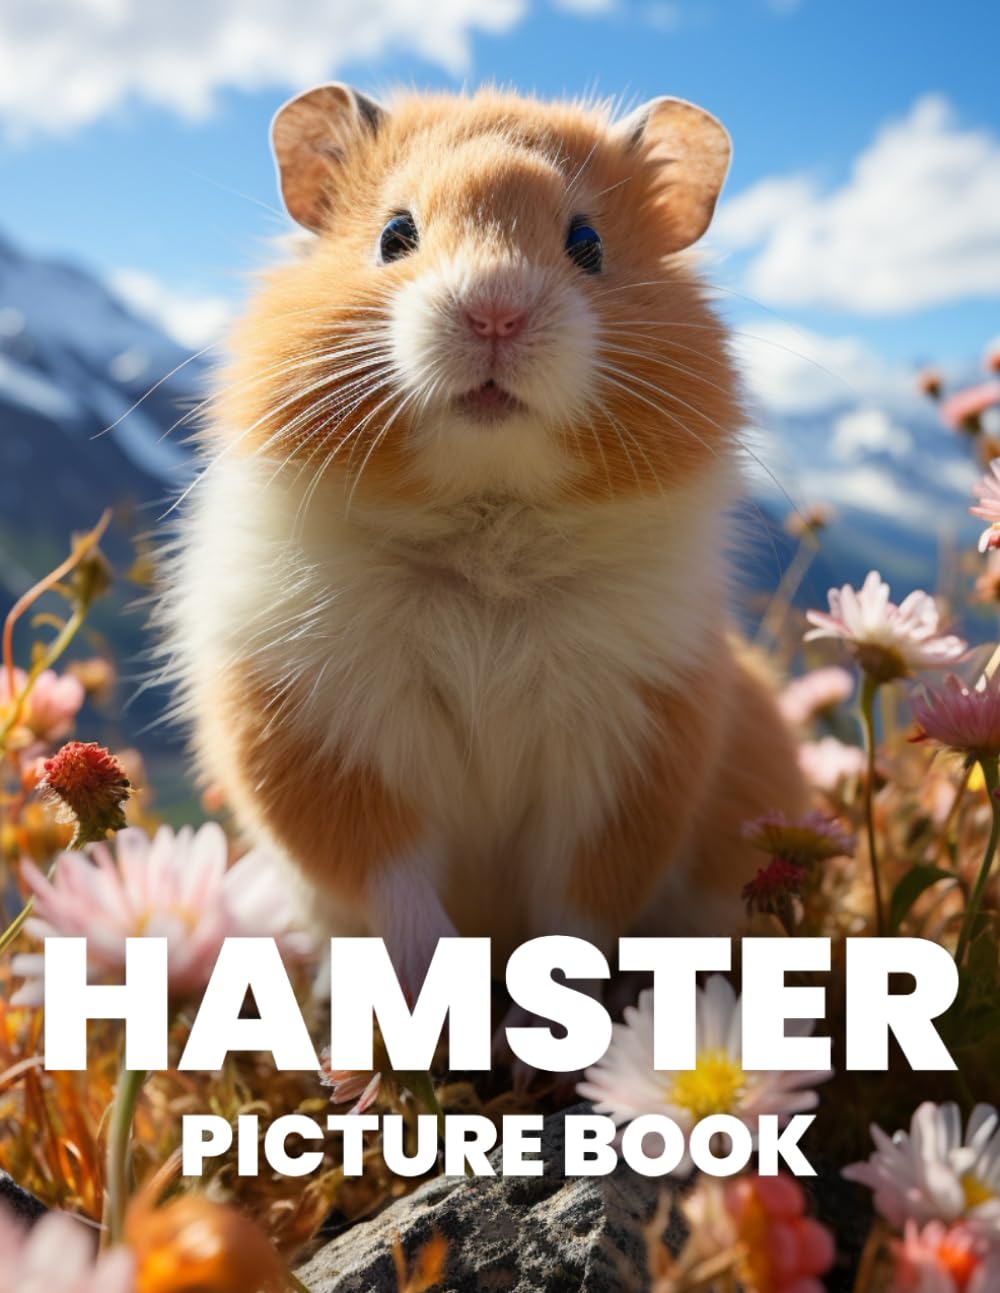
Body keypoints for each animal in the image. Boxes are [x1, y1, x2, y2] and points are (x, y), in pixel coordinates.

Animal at [163, 85, 807, 995]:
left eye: (587, 243)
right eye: (395, 234)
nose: (494, 311)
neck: (485, 526)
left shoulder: (627, 758)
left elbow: (577, 913)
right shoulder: (320, 737)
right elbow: (394, 882)